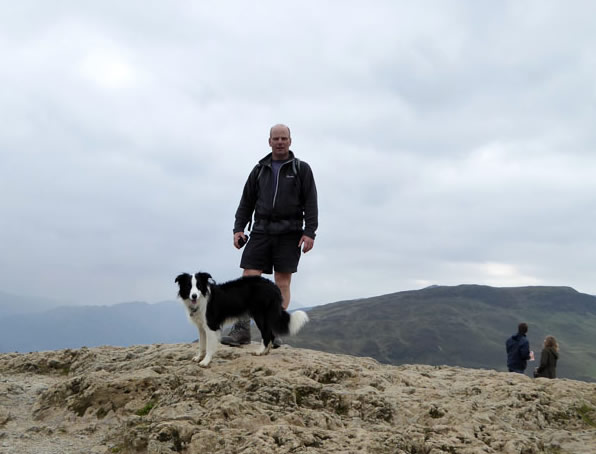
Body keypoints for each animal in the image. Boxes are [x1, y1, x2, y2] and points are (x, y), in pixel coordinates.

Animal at [175, 272, 310, 368]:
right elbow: (201, 345)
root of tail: (273, 286)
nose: (194, 296)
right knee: (270, 333)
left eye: (198, 286)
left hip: (259, 314)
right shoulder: (201, 327)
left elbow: (209, 346)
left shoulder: (211, 326)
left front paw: (206, 361)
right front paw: (199, 357)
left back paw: (260, 351)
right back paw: (266, 351)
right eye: (189, 286)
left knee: (266, 333)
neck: (202, 298)